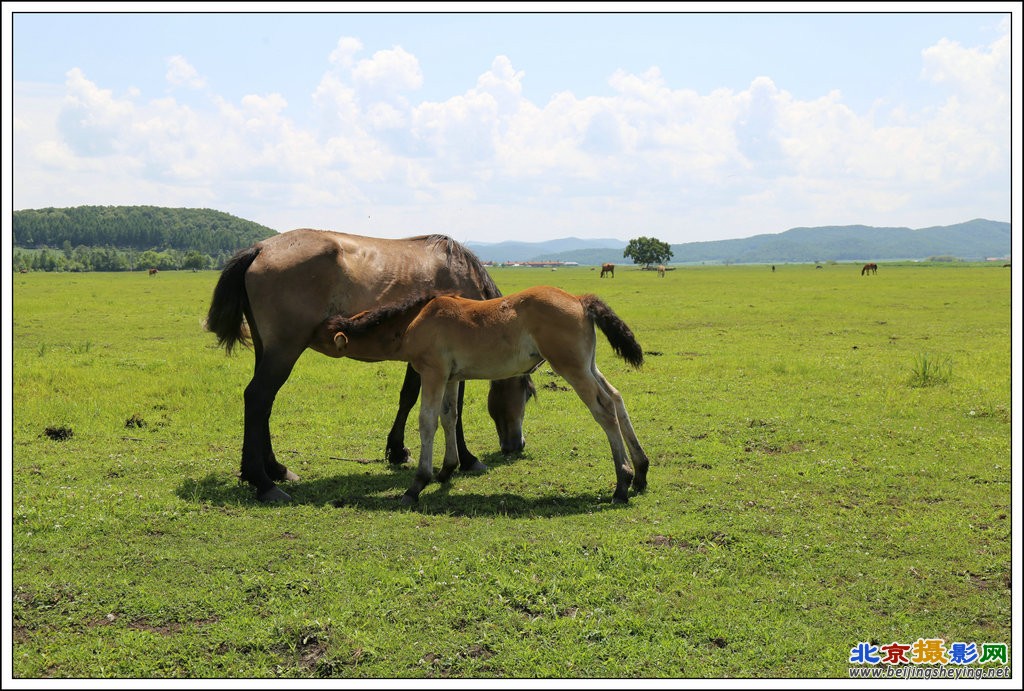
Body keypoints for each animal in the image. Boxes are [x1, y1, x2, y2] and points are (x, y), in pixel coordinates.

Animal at [203, 229, 532, 505]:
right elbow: (451, 409)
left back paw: (274, 469)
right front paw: (466, 458)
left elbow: (408, 398)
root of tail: (260, 248)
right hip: (284, 350)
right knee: (257, 397)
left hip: (268, 350)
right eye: (527, 395)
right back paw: (263, 482)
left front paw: (397, 450)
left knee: (264, 404)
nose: (517, 444)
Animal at [311, 284, 647, 505]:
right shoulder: (450, 378)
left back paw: (622, 482)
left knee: (605, 408)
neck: (417, 319)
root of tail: (579, 300)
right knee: (617, 398)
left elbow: (427, 422)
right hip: (588, 365)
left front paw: (417, 484)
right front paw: (447, 469)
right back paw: (641, 472)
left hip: (571, 367)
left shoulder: (432, 372)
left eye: (323, 336)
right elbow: (449, 417)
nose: (305, 337)